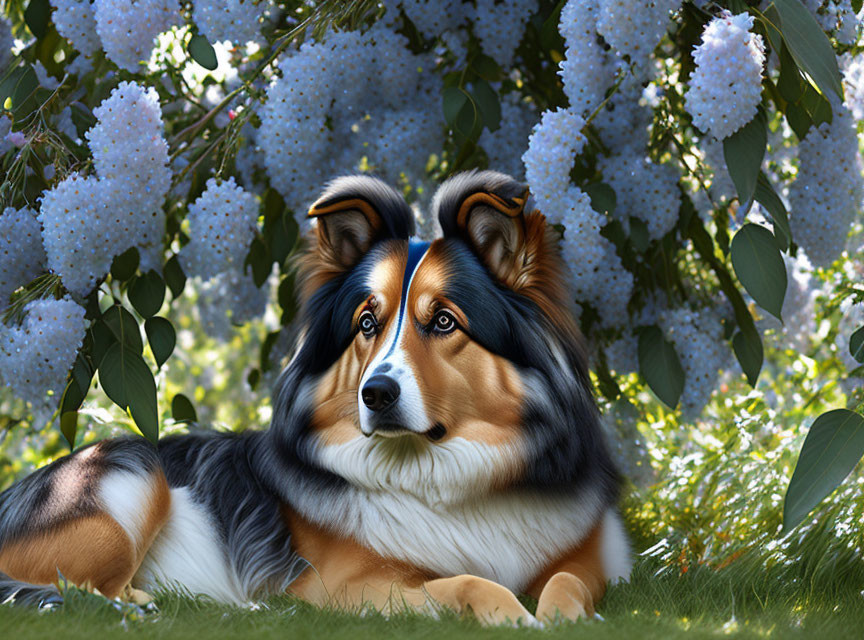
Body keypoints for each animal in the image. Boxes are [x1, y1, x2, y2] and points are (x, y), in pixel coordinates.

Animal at [1, 170, 636, 624]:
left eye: (445, 321)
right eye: (366, 323)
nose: (375, 393)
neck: (445, 478)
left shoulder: (598, 557)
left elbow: (568, 580)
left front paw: (565, 617)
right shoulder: (349, 586)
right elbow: (465, 580)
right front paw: (514, 615)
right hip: (128, 476)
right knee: (73, 591)